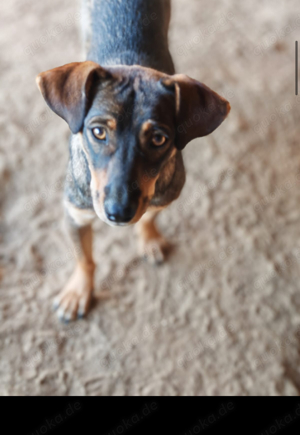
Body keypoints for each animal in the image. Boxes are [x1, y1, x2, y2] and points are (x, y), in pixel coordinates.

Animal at [35, 0, 230, 320]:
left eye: (159, 139)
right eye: (98, 132)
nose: (118, 213)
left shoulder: (162, 197)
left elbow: (149, 216)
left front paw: (148, 239)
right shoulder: (75, 215)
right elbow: (84, 259)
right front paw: (78, 292)